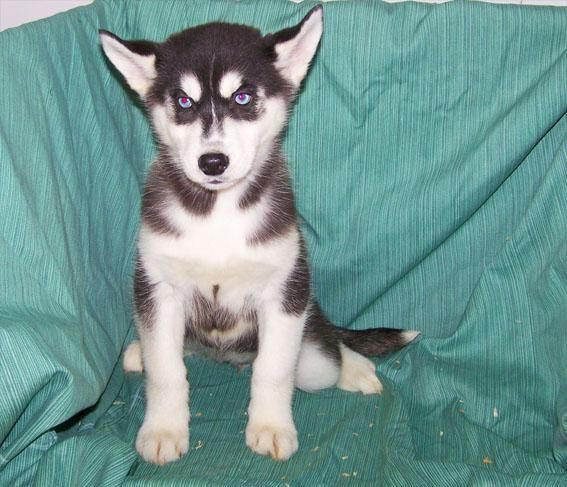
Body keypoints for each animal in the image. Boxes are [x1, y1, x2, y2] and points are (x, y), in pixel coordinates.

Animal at [98, 6, 418, 466]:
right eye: (184, 101)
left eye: (243, 98)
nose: (212, 162)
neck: (217, 212)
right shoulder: (157, 286)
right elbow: (166, 371)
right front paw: (163, 428)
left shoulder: (285, 289)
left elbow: (274, 369)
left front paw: (269, 427)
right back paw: (140, 349)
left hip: (312, 346)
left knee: (327, 354)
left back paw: (354, 367)